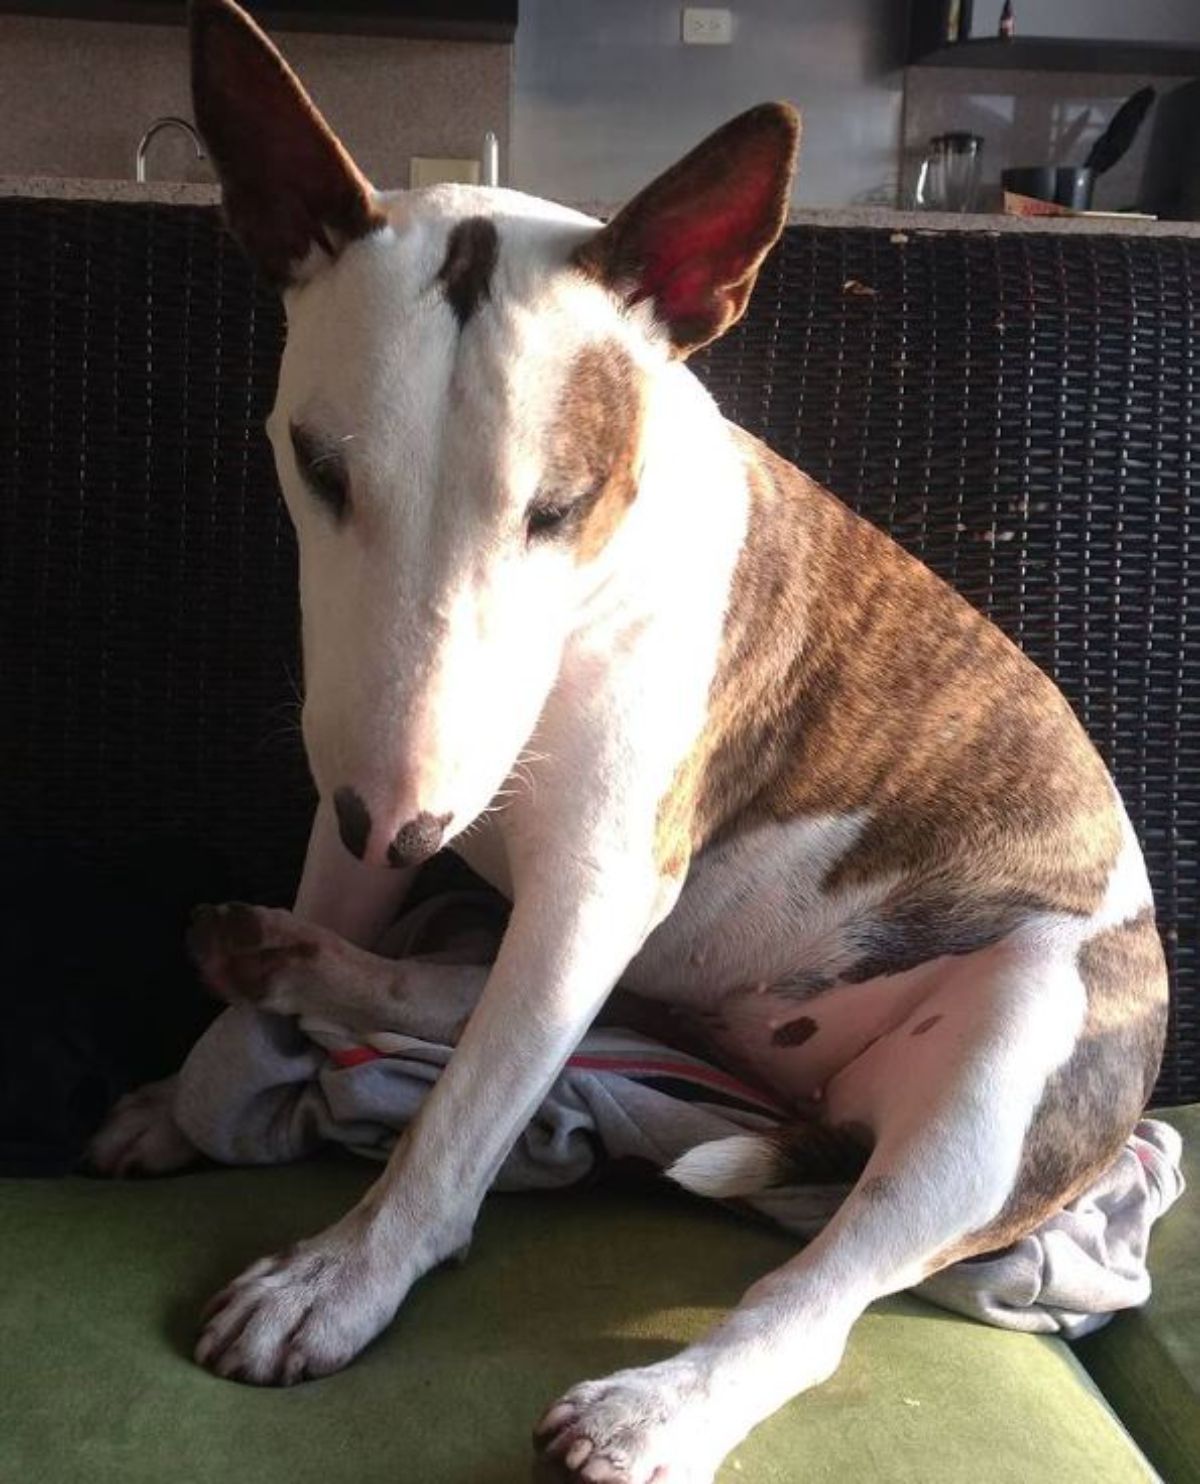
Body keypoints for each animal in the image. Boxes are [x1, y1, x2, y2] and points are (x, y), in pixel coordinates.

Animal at [91, 5, 1168, 1478]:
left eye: (561, 505)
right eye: (317, 469)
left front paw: (338, 1280)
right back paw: (286, 958)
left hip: (1017, 1043)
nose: (405, 823)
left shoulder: (596, 883)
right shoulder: (352, 803)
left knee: (812, 1287)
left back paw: (657, 1407)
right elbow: (401, 988)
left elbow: (462, 1116)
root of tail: (798, 1089)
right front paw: (194, 1090)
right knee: (511, 1008)